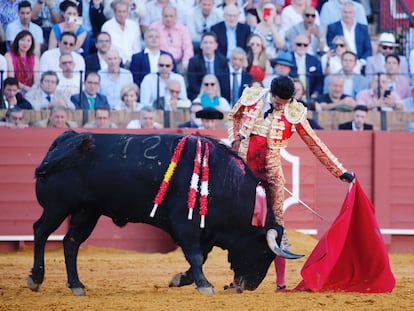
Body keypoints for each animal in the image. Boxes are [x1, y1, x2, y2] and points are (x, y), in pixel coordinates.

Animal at [28, 132, 300, 298]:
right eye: (264, 253)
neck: (223, 182)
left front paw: (180, 279)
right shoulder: (185, 223)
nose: (249, 286)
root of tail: (67, 138)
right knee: (40, 231)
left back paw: (76, 285)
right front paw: (204, 285)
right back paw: (36, 278)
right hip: (57, 206)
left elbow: (200, 256)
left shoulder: (206, 230)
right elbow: (196, 255)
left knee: (71, 242)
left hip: (87, 212)